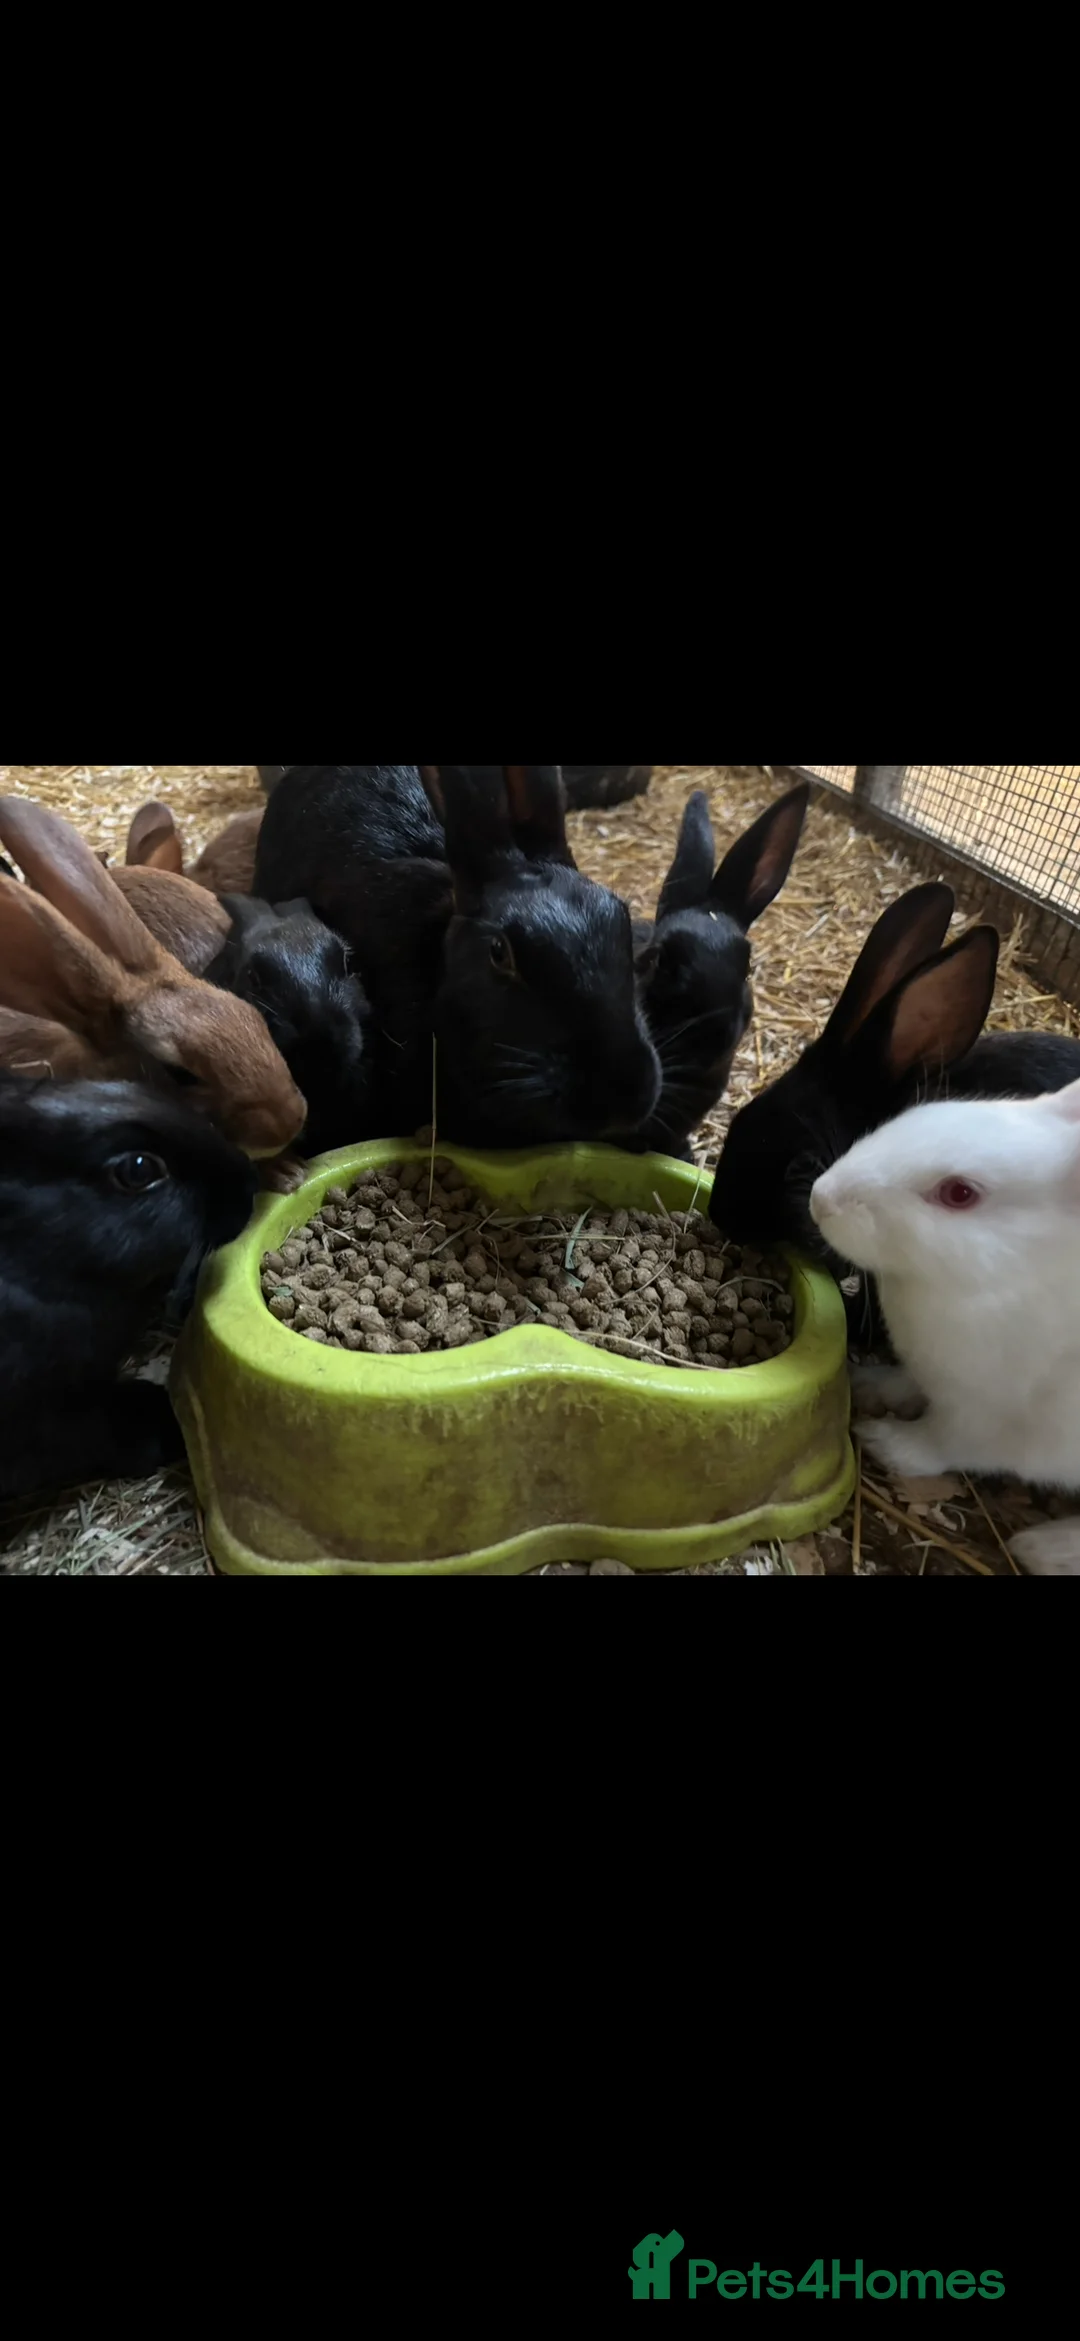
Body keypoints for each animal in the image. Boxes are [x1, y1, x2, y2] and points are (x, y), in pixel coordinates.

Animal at [809, 1080, 1080, 1576]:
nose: (821, 1198)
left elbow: (941, 1443)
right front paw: (870, 1384)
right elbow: (909, 1385)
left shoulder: (994, 1420)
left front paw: (882, 1439)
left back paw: (1040, 1548)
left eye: (959, 1193)